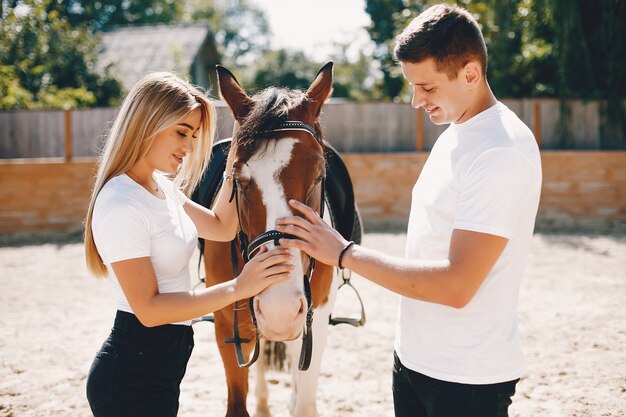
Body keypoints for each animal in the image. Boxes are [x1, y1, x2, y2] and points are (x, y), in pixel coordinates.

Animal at [202, 62, 342, 416]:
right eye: (237, 179)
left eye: (319, 175)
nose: (280, 309)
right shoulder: (228, 322)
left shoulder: (315, 318)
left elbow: (305, 401)